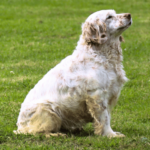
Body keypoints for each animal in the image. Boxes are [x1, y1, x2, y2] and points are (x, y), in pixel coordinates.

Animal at [13, 9, 131, 138]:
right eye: (109, 17)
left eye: (115, 13)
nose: (129, 15)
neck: (102, 55)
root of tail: (20, 126)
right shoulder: (97, 94)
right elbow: (104, 118)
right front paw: (109, 135)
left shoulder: (110, 92)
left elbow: (107, 116)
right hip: (49, 111)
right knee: (38, 132)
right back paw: (58, 134)